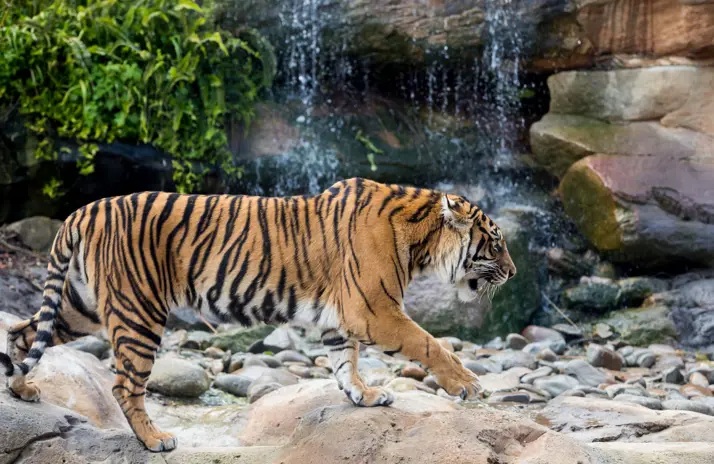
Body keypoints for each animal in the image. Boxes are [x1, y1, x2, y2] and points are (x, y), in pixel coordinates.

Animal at [0, 177, 516, 452]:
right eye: (495, 243)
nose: (513, 273)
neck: (420, 238)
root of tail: (81, 211)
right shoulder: (375, 310)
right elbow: (431, 344)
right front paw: (469, 385)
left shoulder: (343, 318)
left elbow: (344, 362)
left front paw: (364, 396)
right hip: (138, 310)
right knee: (124, 385)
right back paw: (155, 439)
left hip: (81, 306)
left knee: (25, 332)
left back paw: (22, 389)